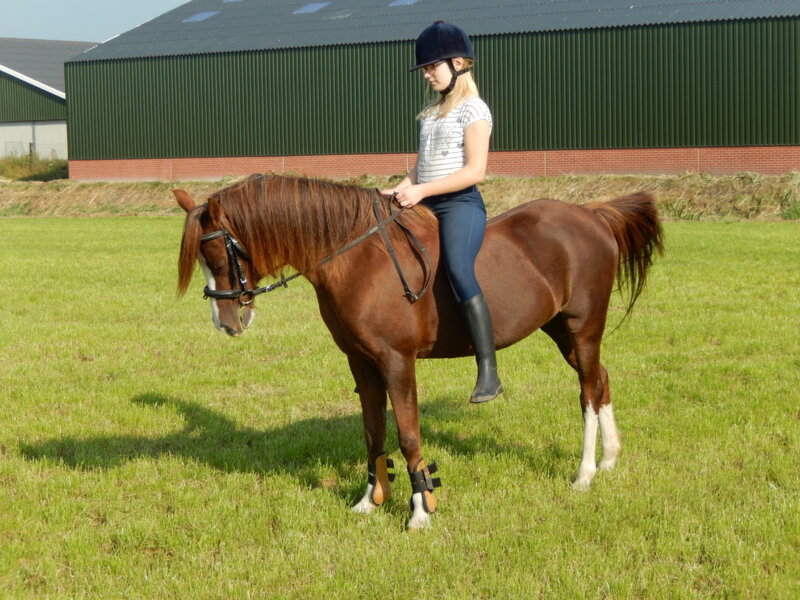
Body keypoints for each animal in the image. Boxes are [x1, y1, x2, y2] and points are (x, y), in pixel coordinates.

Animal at [175, 174, 663, 529]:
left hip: (583, 327)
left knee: (587, 391)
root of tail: (592, 215)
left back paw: (584, 473)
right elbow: (373, 431)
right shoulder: (361, 361)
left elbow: (408, 433)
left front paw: (421, 508)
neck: (357, 259)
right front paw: (370, 500)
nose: (226, 323)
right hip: (560, 328)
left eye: (217, 255)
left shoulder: (396, 360)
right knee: (600, 380)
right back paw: (610, 458)